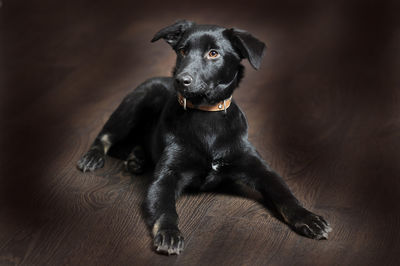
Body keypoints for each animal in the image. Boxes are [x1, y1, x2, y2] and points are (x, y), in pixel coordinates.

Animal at [77, 20, 332, 256]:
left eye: (213, 53)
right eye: (182, 51)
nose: (181, 80)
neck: (206, 115)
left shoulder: (261, 169)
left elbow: (285, 194)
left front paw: (308, 218)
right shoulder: (165, 177)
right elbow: (165, 209)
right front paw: (169, 233)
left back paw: (137, 158)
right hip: (137, 100)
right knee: (105, 136)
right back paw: (93, 157)